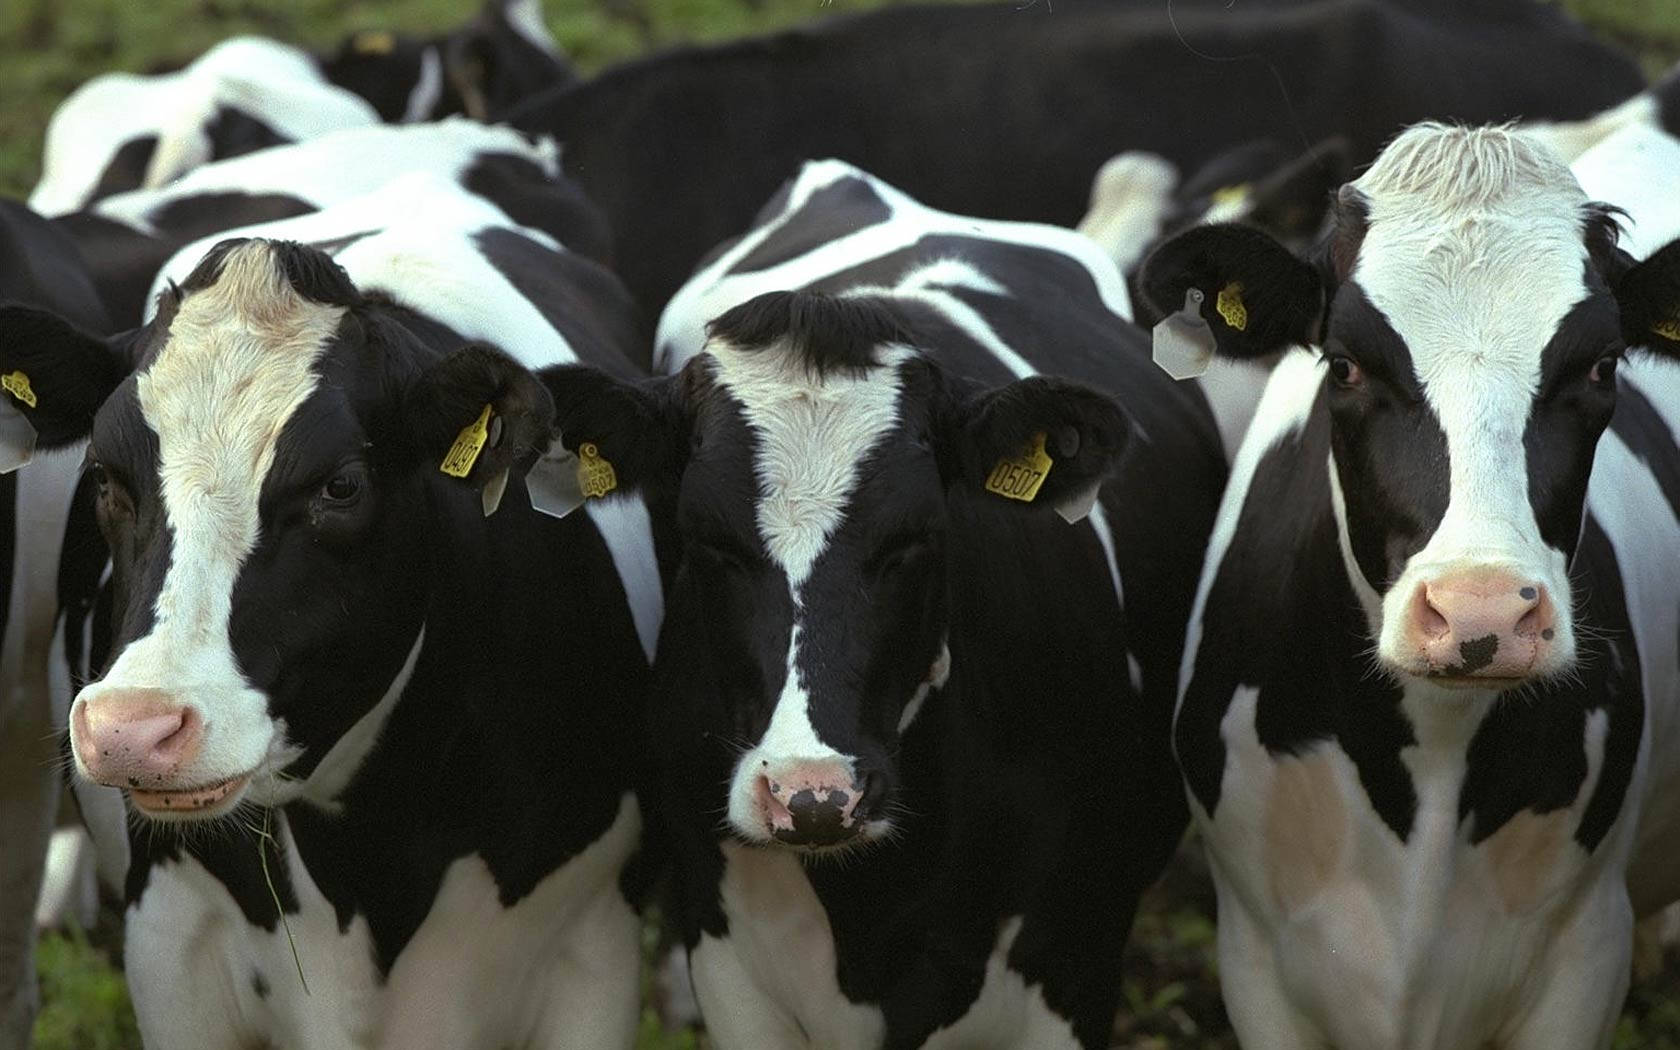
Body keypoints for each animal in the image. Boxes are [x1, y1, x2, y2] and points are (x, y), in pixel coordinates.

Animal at [0, 168, 661, 1041]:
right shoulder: (171, 950)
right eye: (107, 477)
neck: (368, 863)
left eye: (340, 485)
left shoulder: (594, 947)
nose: (134, 729)